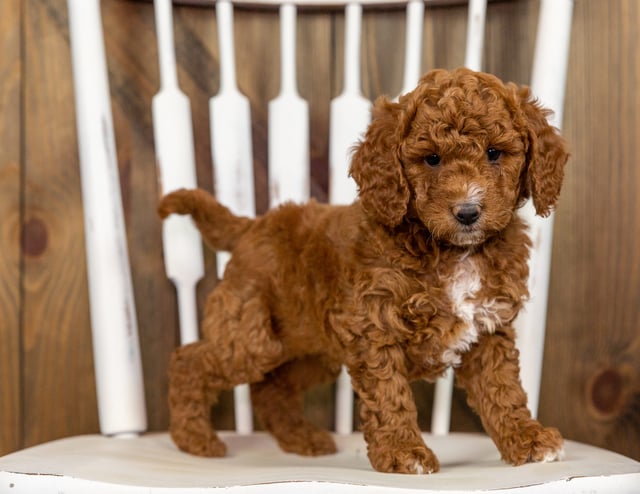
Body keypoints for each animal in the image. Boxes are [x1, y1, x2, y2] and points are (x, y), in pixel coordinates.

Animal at [158, 67, 568, 472]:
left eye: (494, 153)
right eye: (432, 159)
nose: (467, 212)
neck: (451, 250)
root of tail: (252, 225)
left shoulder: (488, 329)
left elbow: (503, 391)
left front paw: (527, 439)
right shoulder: (374, 326)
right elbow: (390, 395)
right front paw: (404, 452)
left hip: (309, 348)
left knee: (272, 388)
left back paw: (302, 439)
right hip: (251, 338)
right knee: (189, 361)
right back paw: (194, 438)